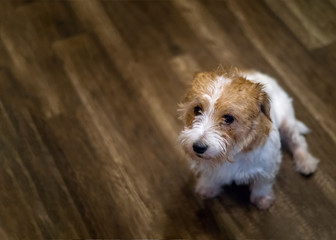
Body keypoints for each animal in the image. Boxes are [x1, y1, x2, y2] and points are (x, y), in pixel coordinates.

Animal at [177, 68, 318, 209]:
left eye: (228, 118)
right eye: (197, 110)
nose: (198, 147)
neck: (232, 152)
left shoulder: (267, 166)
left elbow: (262, 184)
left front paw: (262, 199)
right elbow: (210, 175)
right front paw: (207, 187)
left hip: (287, 124)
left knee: (298, 141)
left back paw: (306, 161)